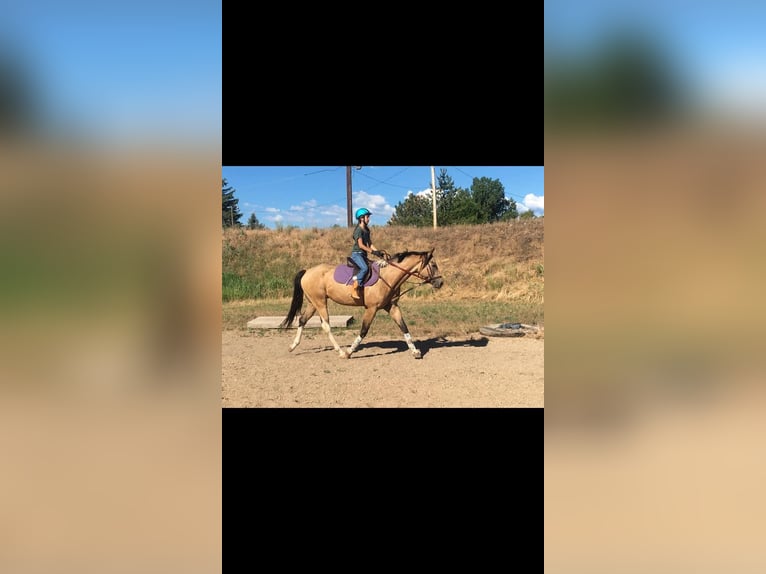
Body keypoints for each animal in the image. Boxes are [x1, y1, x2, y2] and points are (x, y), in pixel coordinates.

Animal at [280, 249, 444, 359]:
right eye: (434, 265)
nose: (440, 282)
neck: (388, 277)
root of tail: (307, 271)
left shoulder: (391, 307)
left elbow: (403, 327)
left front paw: (415, 351)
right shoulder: (371, 308)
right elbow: (364, 330)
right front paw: (349, 351)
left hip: (313, 302)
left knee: (302, 320)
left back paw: (293, 346)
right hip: (320, 302)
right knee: (326, 326)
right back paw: (340, 351)